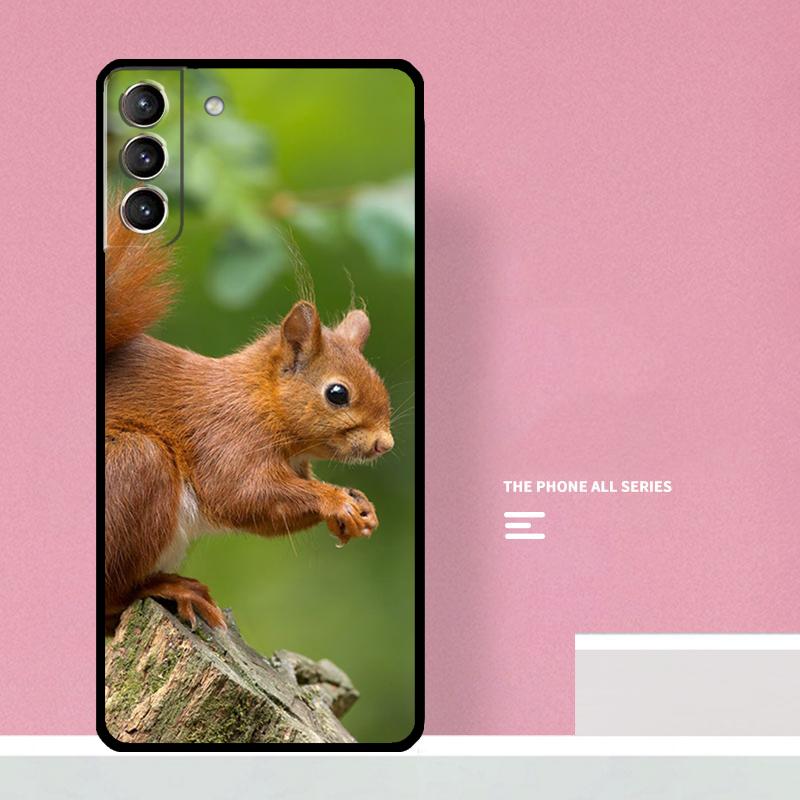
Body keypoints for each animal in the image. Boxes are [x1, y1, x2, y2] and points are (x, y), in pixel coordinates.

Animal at [105, 212, 394, 634]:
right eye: (337, 393)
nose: (384, 444)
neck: (261, 401)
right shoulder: (225, 436)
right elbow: (242, 494)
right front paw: (336, 501)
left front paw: (361, 508)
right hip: (135, 465)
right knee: (114, 592)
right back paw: (169, 587)